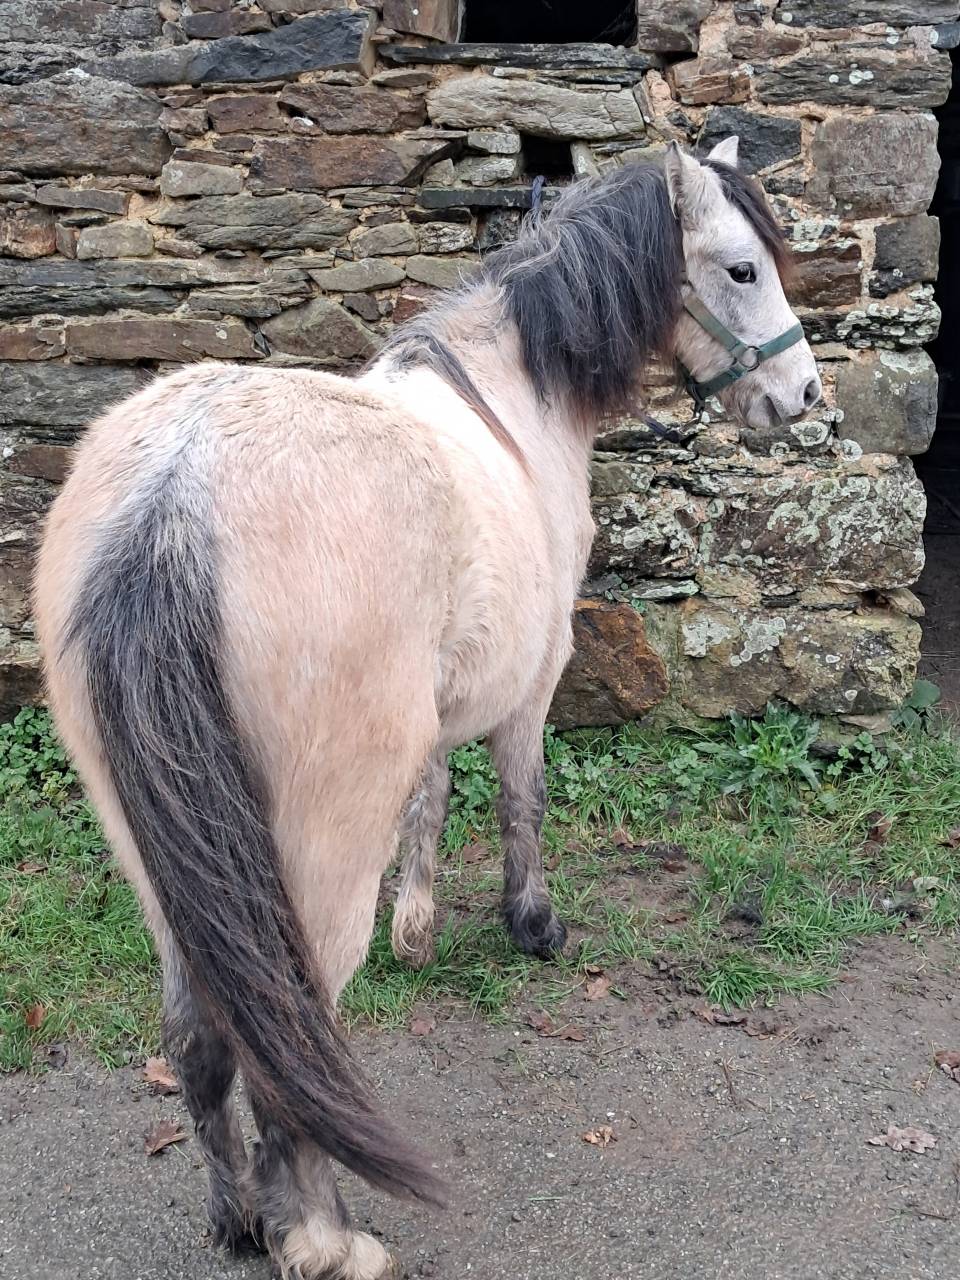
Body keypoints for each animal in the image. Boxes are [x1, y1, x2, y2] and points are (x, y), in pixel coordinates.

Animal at [35, 137, 820, 1279]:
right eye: (741, 268)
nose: (803, 394)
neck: (512, 396)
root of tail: (172, 500)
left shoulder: (445, 703)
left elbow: (432, 798)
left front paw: (418, 926)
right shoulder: (531, 685)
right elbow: (519, 801)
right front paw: (532, 924)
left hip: (158, 857)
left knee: (199, 1034)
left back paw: (239, 1218)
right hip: (308, 863)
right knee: (288, 1042)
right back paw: (325, 1240)